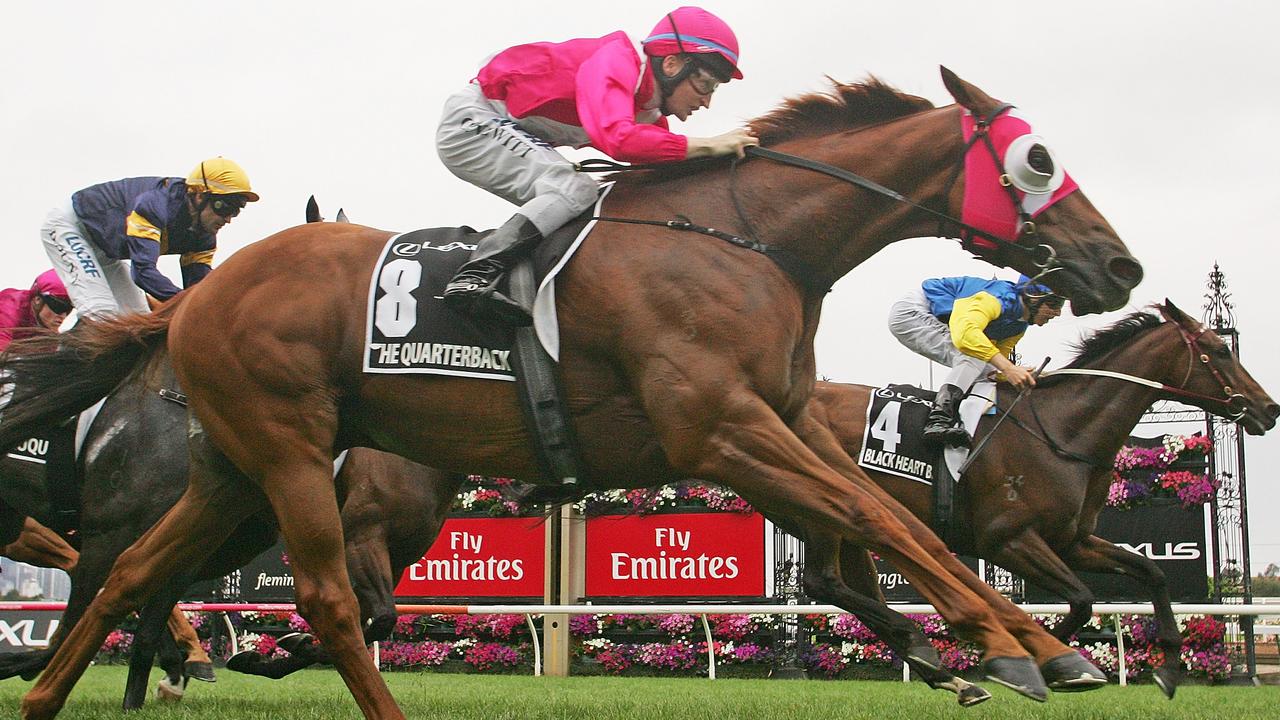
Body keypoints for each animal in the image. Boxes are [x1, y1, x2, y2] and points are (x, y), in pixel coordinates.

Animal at [0, 67, 1141, 717]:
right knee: (314, 596)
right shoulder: (719, 429)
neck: (744, 239)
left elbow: (889, 528)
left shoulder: (777, 422)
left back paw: (49, 693)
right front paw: (1022, 650)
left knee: (128, 574)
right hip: (284, 448)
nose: (1115, 264)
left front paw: (1033, 647)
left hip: (230, 469)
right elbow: (876, 518)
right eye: (1038, 158)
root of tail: (195, 300)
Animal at [808, 298, 1280, 696]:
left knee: (857, 588)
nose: (1269, 409)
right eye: (1219, 350)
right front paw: (1047, 660)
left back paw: (937, 668)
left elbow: (1152, 572)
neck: (1060, 430)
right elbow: (1083, 600)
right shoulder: (1007, 540)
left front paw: (1165, 669)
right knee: (823, 582)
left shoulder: (1071, 541)